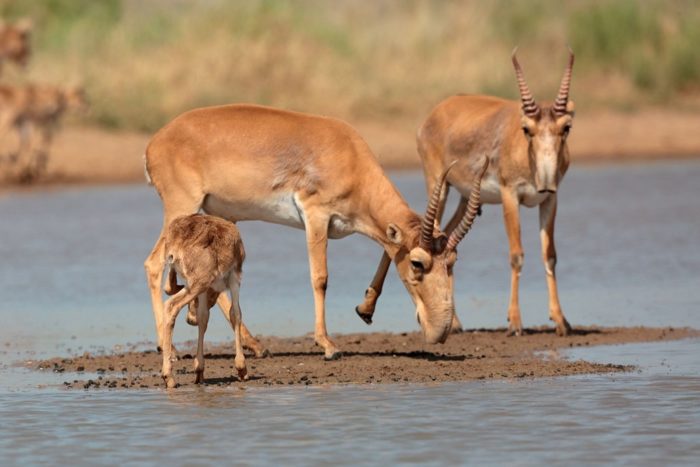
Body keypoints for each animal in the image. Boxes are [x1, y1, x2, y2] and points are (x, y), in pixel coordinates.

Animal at [144, 104, 486, 360]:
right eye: (418, 263)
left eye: (452, 261)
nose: (440, 331)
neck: (347, 153)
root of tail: (154, 143)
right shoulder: (316, 216)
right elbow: (320, 278)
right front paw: (329, 345)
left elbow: (386, 250)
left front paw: (364, 310)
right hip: (181, 205)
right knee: (154, 263)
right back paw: (169, 347)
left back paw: (250, 342)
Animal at [356, 49, 576, 338]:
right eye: (527, 129)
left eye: (566, 128)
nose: (546, 182)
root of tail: (437, 111)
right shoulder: (510, 196)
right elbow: (516, 255)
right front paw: (515, 323)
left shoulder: (551, 199)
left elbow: (550, 255)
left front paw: (561, 321)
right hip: (439, 189)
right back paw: (369, 310)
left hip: (465, 198)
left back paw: (454, 322)